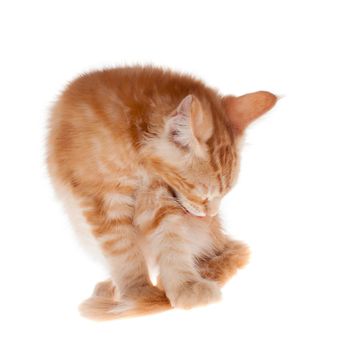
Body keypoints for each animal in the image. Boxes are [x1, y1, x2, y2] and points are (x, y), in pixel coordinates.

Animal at [46, 66, 278, 320]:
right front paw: (140, 293)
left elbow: (171, 239)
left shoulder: (158, 196)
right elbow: (123, 250)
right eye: (203, 195)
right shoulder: (103, 196)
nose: (210, 215)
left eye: (225, 193)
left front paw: (184, 285)